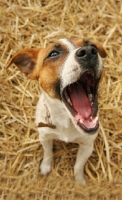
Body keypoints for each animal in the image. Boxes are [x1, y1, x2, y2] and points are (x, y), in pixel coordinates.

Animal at [6, 36, 106, 184]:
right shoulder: (44, 137)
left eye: (92, 45)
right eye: (53, 54)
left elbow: (78, 166)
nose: (88, 52)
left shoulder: (87, 145)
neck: (66, 121)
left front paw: (80, 182)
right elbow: (48, 153)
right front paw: (45, 167)